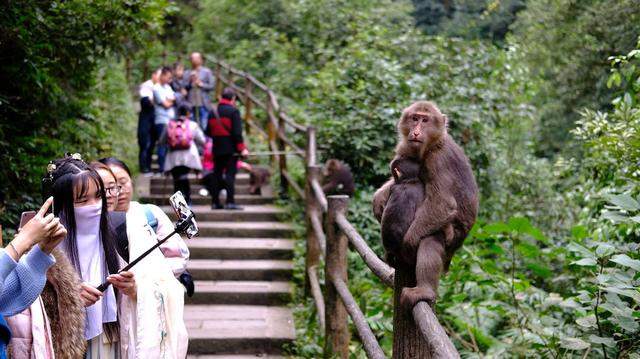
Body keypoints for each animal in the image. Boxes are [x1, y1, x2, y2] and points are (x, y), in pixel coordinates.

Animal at [372, 101, 478, 310]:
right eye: (415, 118)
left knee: (432, 237)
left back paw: (425, 290)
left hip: (453, 239)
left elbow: (443, 203)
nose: (416, 131)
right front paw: (379, 196)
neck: (433, 144)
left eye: (425, 120)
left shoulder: (438, 160)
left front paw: (409, 242)